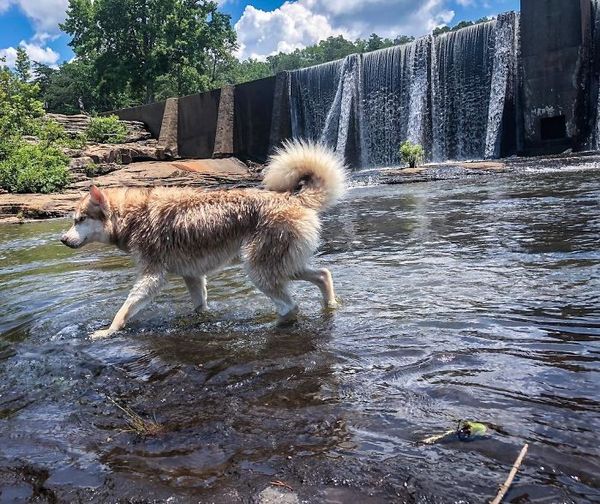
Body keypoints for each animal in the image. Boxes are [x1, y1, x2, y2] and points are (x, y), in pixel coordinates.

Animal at [61, 141, 346, 338]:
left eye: (80, 219)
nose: (62, 239)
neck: (132, 216)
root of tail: (291, 198)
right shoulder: (193, 275)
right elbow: (199, 306)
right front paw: (199, 320)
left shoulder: (152, 277)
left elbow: (125, 309)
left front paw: (108, 331)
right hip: (283, 265)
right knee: (323, 274)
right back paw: (330, 305)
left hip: (259, 270)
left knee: (291, 306)